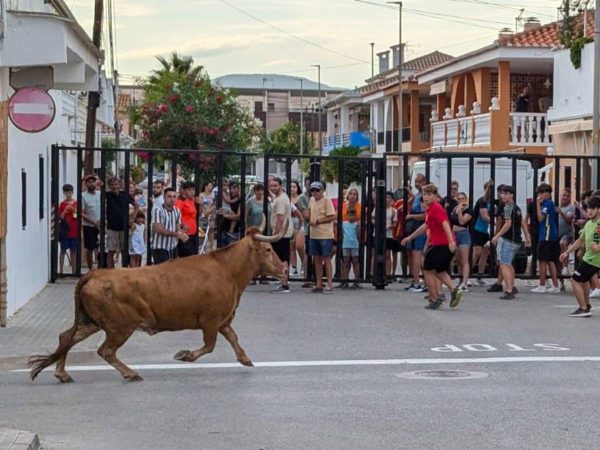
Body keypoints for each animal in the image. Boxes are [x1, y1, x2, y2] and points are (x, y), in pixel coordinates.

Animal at [29, 227, 288, 382]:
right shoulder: (211, 321)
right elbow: (210, 345)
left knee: (67, 338)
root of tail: (96, 274)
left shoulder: (223, 320)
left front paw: (245, 359)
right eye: (268, 249)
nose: (284, 270)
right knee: (105, 350)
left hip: (91, 322)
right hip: (120, 326)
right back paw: (131, 373)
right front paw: (185, 355)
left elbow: (233, 338)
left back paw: (62, 374)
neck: (227, 270)